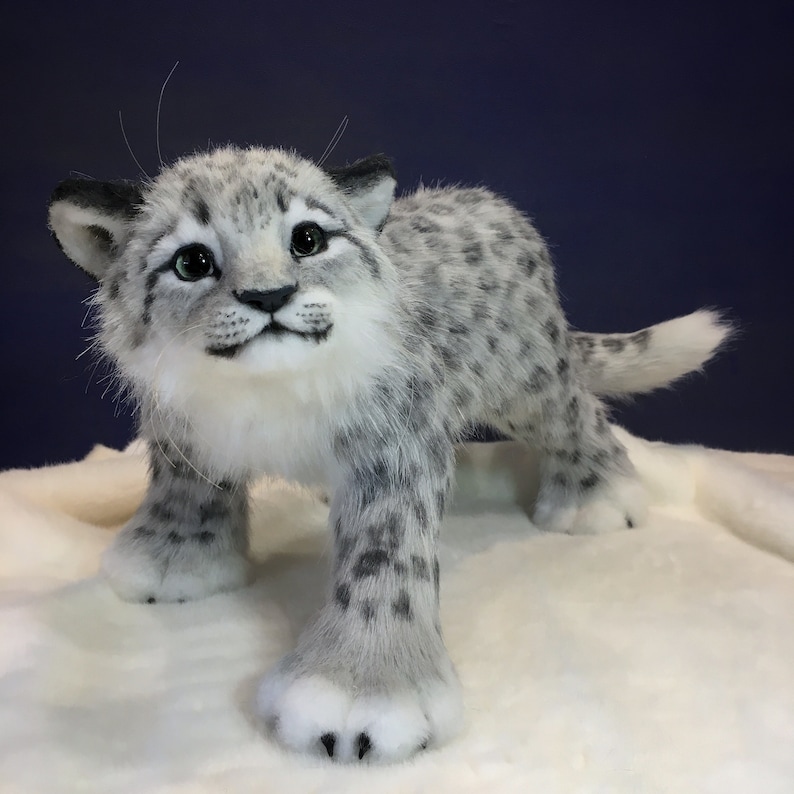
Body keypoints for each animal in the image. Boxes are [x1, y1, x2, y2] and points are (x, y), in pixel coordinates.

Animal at [48, 145, 728, 763]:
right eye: (192, 261)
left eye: (307, 239)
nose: (269, 296)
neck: (265, 397)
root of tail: (496, 206)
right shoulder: (184, 429)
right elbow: (186, 487)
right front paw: (173, 560)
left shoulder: (396, 445)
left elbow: (385, 554)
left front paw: (359, 691)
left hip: (529, 380)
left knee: (578, 411)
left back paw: (596, 500)